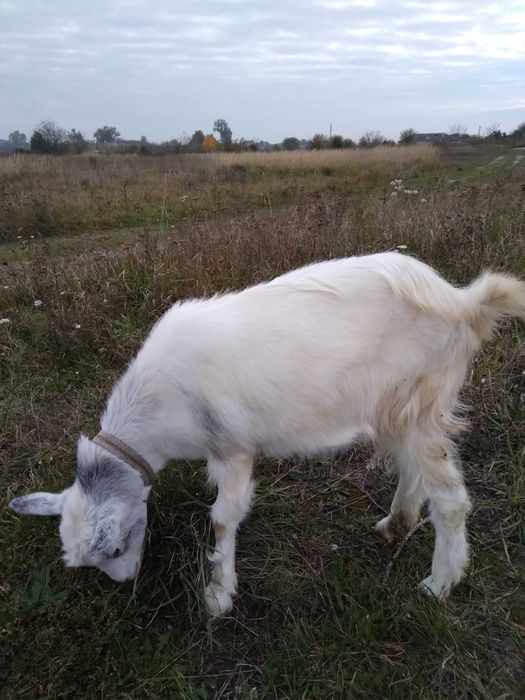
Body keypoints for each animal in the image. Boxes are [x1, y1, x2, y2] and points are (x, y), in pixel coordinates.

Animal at [9, 252, 525, 615]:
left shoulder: (232, 449)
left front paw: (218, 595)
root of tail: (465, 302)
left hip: (419, 402)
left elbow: (223, 518)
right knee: (414, 470)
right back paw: (395, 524)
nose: (126, 578)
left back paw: (439, 584)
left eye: (115, 547)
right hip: (396, 410)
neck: (159, 403)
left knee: (452, 500)